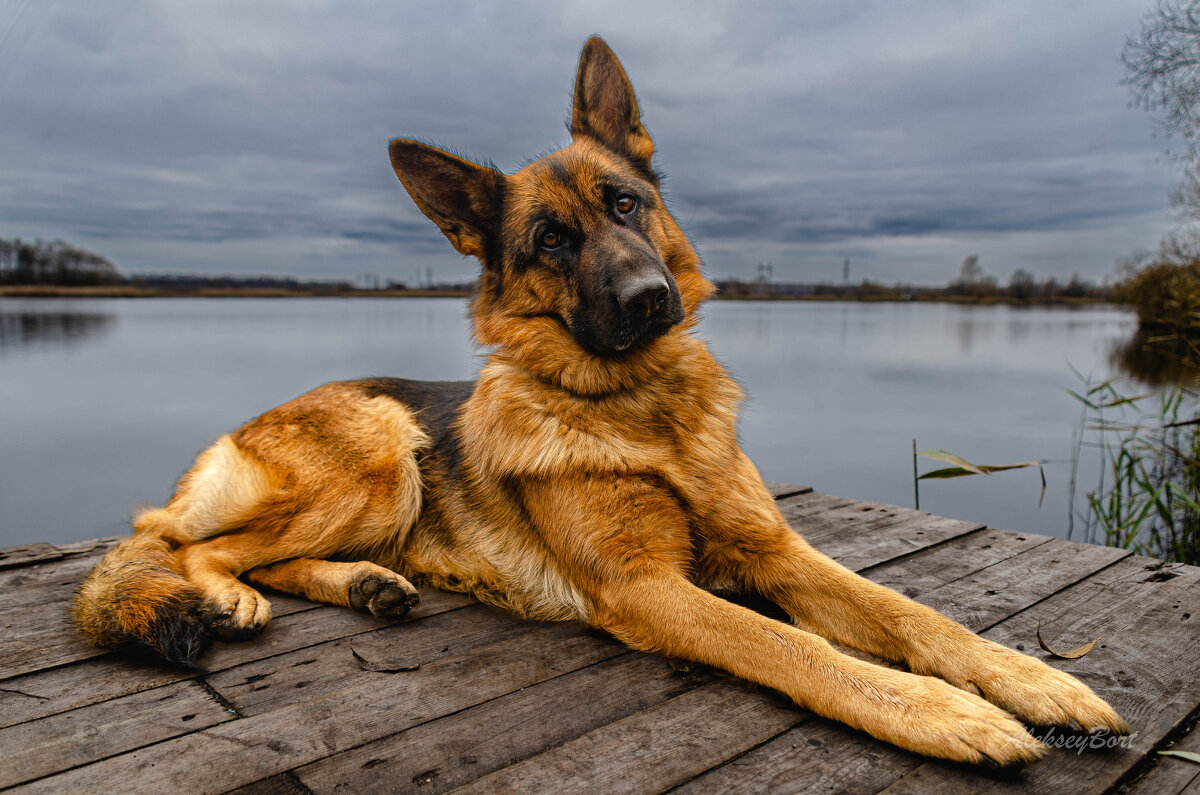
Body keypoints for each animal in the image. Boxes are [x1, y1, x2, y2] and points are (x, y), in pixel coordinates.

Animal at [72, 35, 1123, 768]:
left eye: (625, 204)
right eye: (549, 240)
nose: (650, 300)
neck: (642, 413)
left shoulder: (776, 549)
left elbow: (912, 614)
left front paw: (1031, 678)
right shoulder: (649, 587)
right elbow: (792, 645)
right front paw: (945, 713)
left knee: (259, 550)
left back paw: (368, 584)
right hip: (380, 445)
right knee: (190, 545)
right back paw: (233, 595)